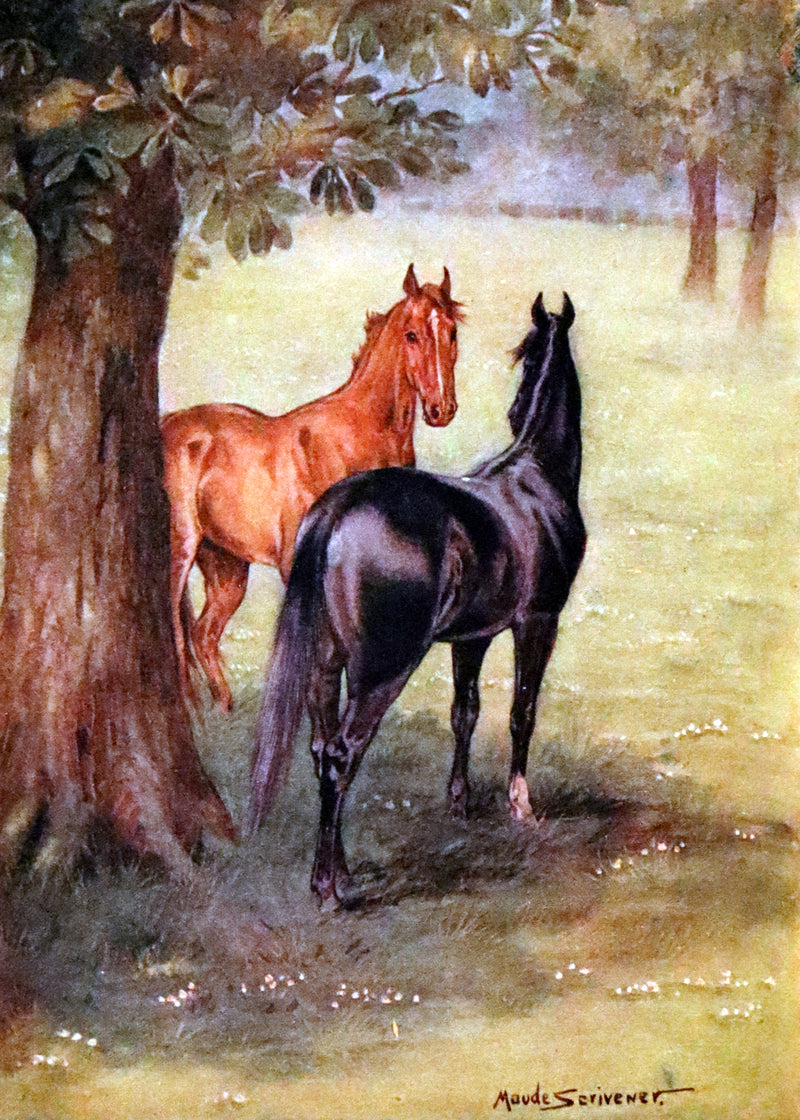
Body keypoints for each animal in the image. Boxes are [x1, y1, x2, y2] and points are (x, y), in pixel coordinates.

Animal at [161, 264, 462, 712]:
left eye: (452, 332)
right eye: (411, 335)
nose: (442, 409)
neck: (355, 438)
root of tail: (167, 425)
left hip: (227, 568)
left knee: (204, 635)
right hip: (180, 550)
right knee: (176, 633)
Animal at [246, 293, 586, 908]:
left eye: (526, 358)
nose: (514, 410)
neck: (534, 478)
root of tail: (338, 508)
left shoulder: (473, 638)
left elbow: (465, 713)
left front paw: (459, 802)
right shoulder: (538, 622)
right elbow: (522, 713)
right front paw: (520, 805)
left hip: (325, 665)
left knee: (322, 751)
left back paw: (340, 872)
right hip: (384, 668)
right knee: (342, 755)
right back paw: (330, 888)